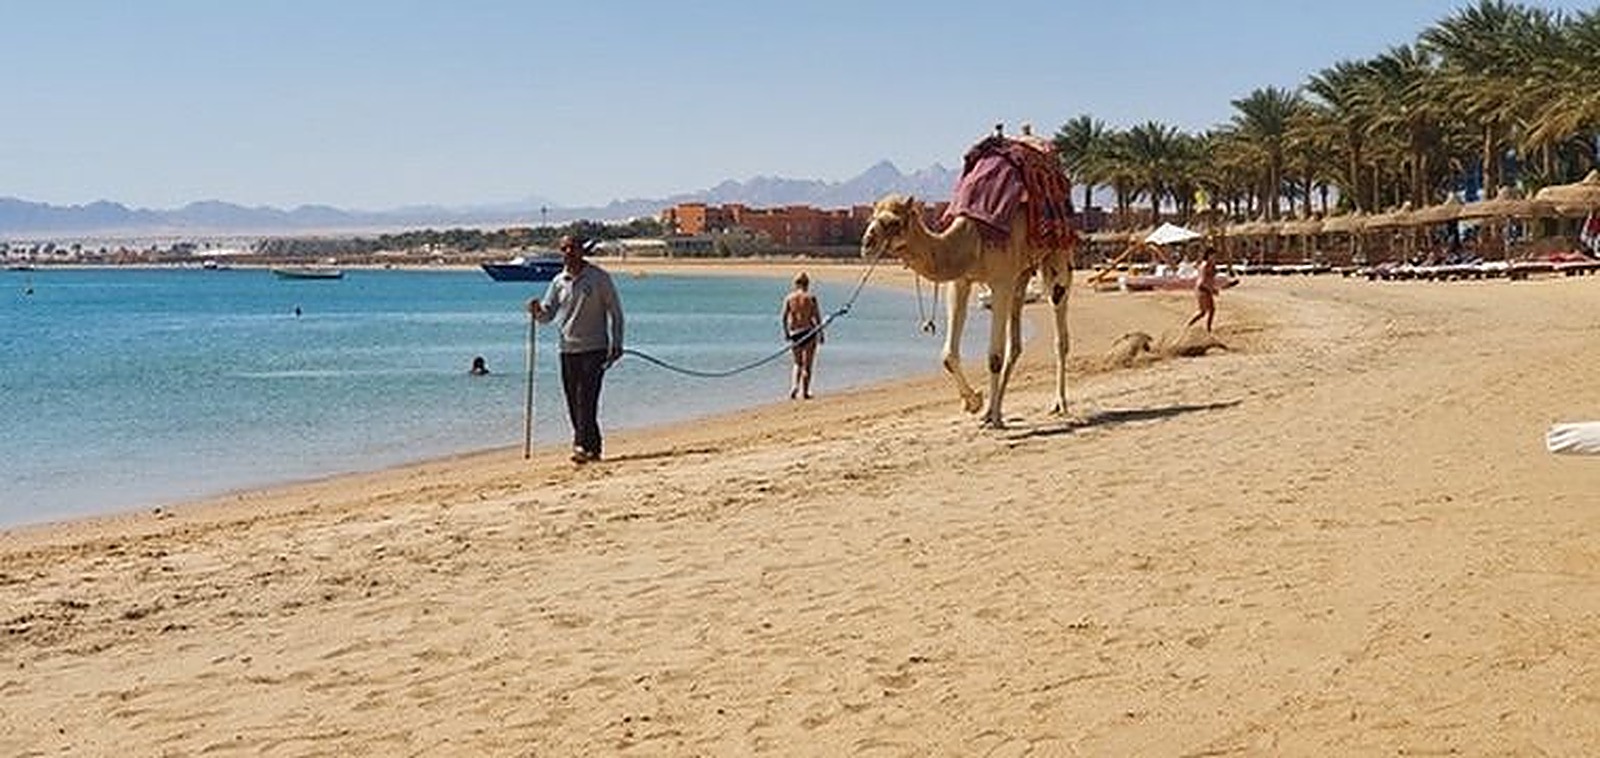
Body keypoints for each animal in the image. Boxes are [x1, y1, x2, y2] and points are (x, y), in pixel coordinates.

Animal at [861, 193, 1074, 428]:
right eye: (871, 217)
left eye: (895, 222)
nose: (866, 243)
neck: (972, 241)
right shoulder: (961, 281)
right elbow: (948, 355)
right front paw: (976, 404)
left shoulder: (1001, 281)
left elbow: (994, 357)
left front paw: (990, 415)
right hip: (1022, 272)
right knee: (1015, 343)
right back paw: (995, 410)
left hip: (1057, 256)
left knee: (1059, 327)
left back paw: (1059, 404)